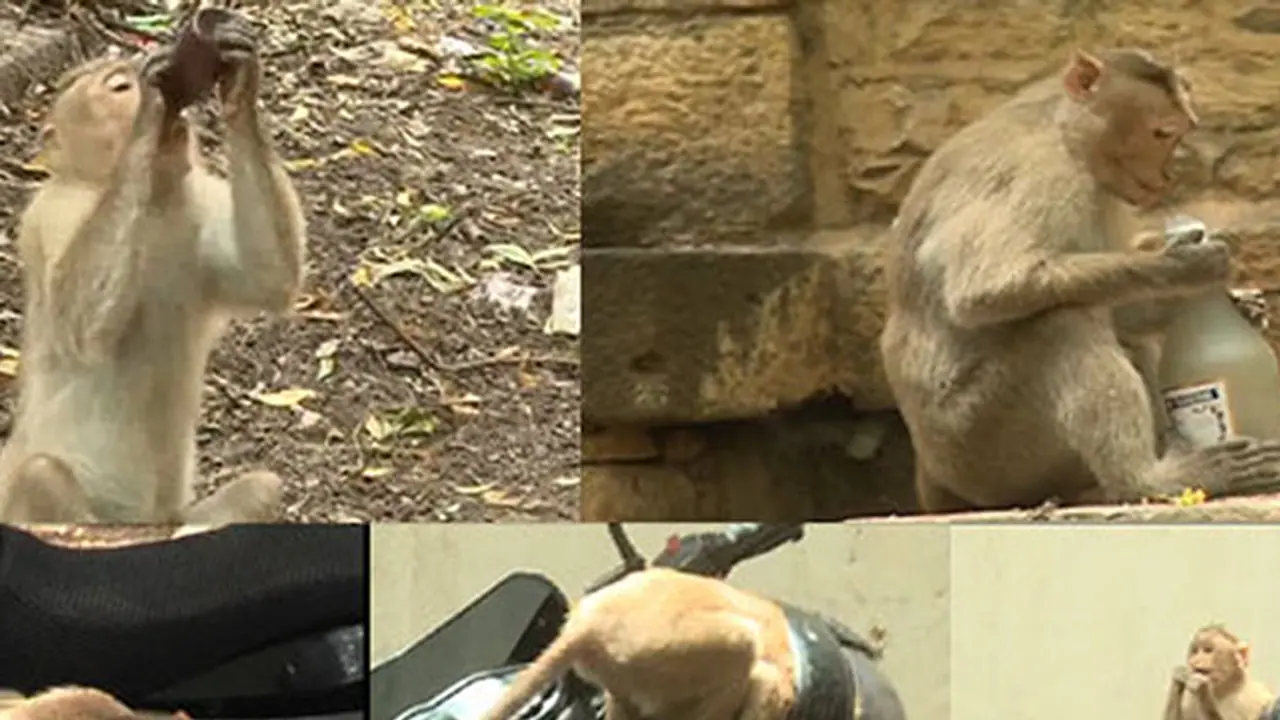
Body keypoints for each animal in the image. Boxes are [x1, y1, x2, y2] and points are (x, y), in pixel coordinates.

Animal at [0, 10, 306, 524]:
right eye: (117, 88)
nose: (135, 82)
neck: (155, 197)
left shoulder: (200, 198)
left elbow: (268, 277)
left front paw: (238, 79)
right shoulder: (52, 212)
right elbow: (78, 326)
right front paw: (154, 106)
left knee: (262, 488)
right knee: (40, 475)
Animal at [878, 47, 1280, 513]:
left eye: (1177, 134)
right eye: (1162, 133)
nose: (1168, 176)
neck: (1068, 135)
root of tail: (932, 472)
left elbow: (1124, 310)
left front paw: (1237, 303)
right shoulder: (1044, 174)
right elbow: (984, 291)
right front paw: (1186, 269)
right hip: (979, 446)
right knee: (1063, 324)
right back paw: (1146, 479)